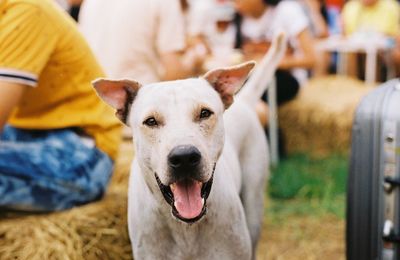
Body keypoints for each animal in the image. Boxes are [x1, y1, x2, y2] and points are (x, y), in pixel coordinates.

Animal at [93, 33, 288, 258]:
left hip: (254, 200)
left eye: (204, 113)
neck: (185, 228)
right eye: (151, 121)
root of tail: (244, 101)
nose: (184, 157)